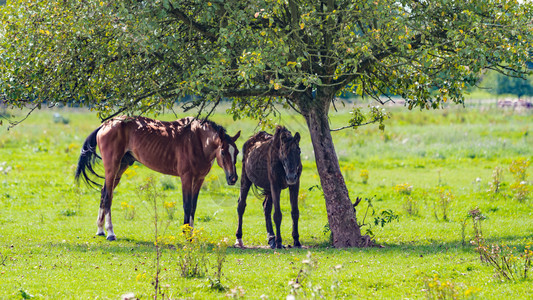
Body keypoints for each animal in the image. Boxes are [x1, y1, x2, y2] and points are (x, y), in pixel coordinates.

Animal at [74, 116, 239, 240]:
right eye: (223, 151)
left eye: (236, 152)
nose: (233, 178)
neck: (197, 140)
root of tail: (105, 125)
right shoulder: (186, 177)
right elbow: (187, 205)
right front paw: (185, 234)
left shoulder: (199, 179)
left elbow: (193, 206)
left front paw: (191, 234)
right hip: (112, 168)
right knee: (108, 196)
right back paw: (110, 233)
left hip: (120, 168)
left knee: (104, 192)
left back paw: (100, 229)